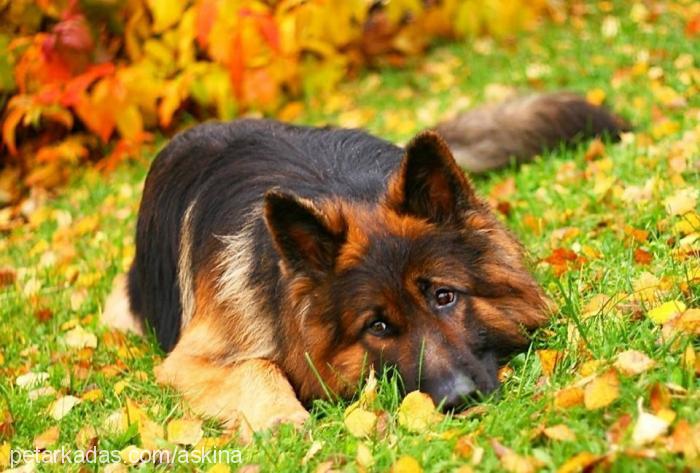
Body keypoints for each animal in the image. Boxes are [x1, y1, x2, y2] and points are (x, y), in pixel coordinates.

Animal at [102, 91, 628, 436]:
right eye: (377, 326)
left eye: (444, 296)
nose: (459, 399)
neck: (343, 189)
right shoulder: (189, 358)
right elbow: (257, 367)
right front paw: (281, 418)